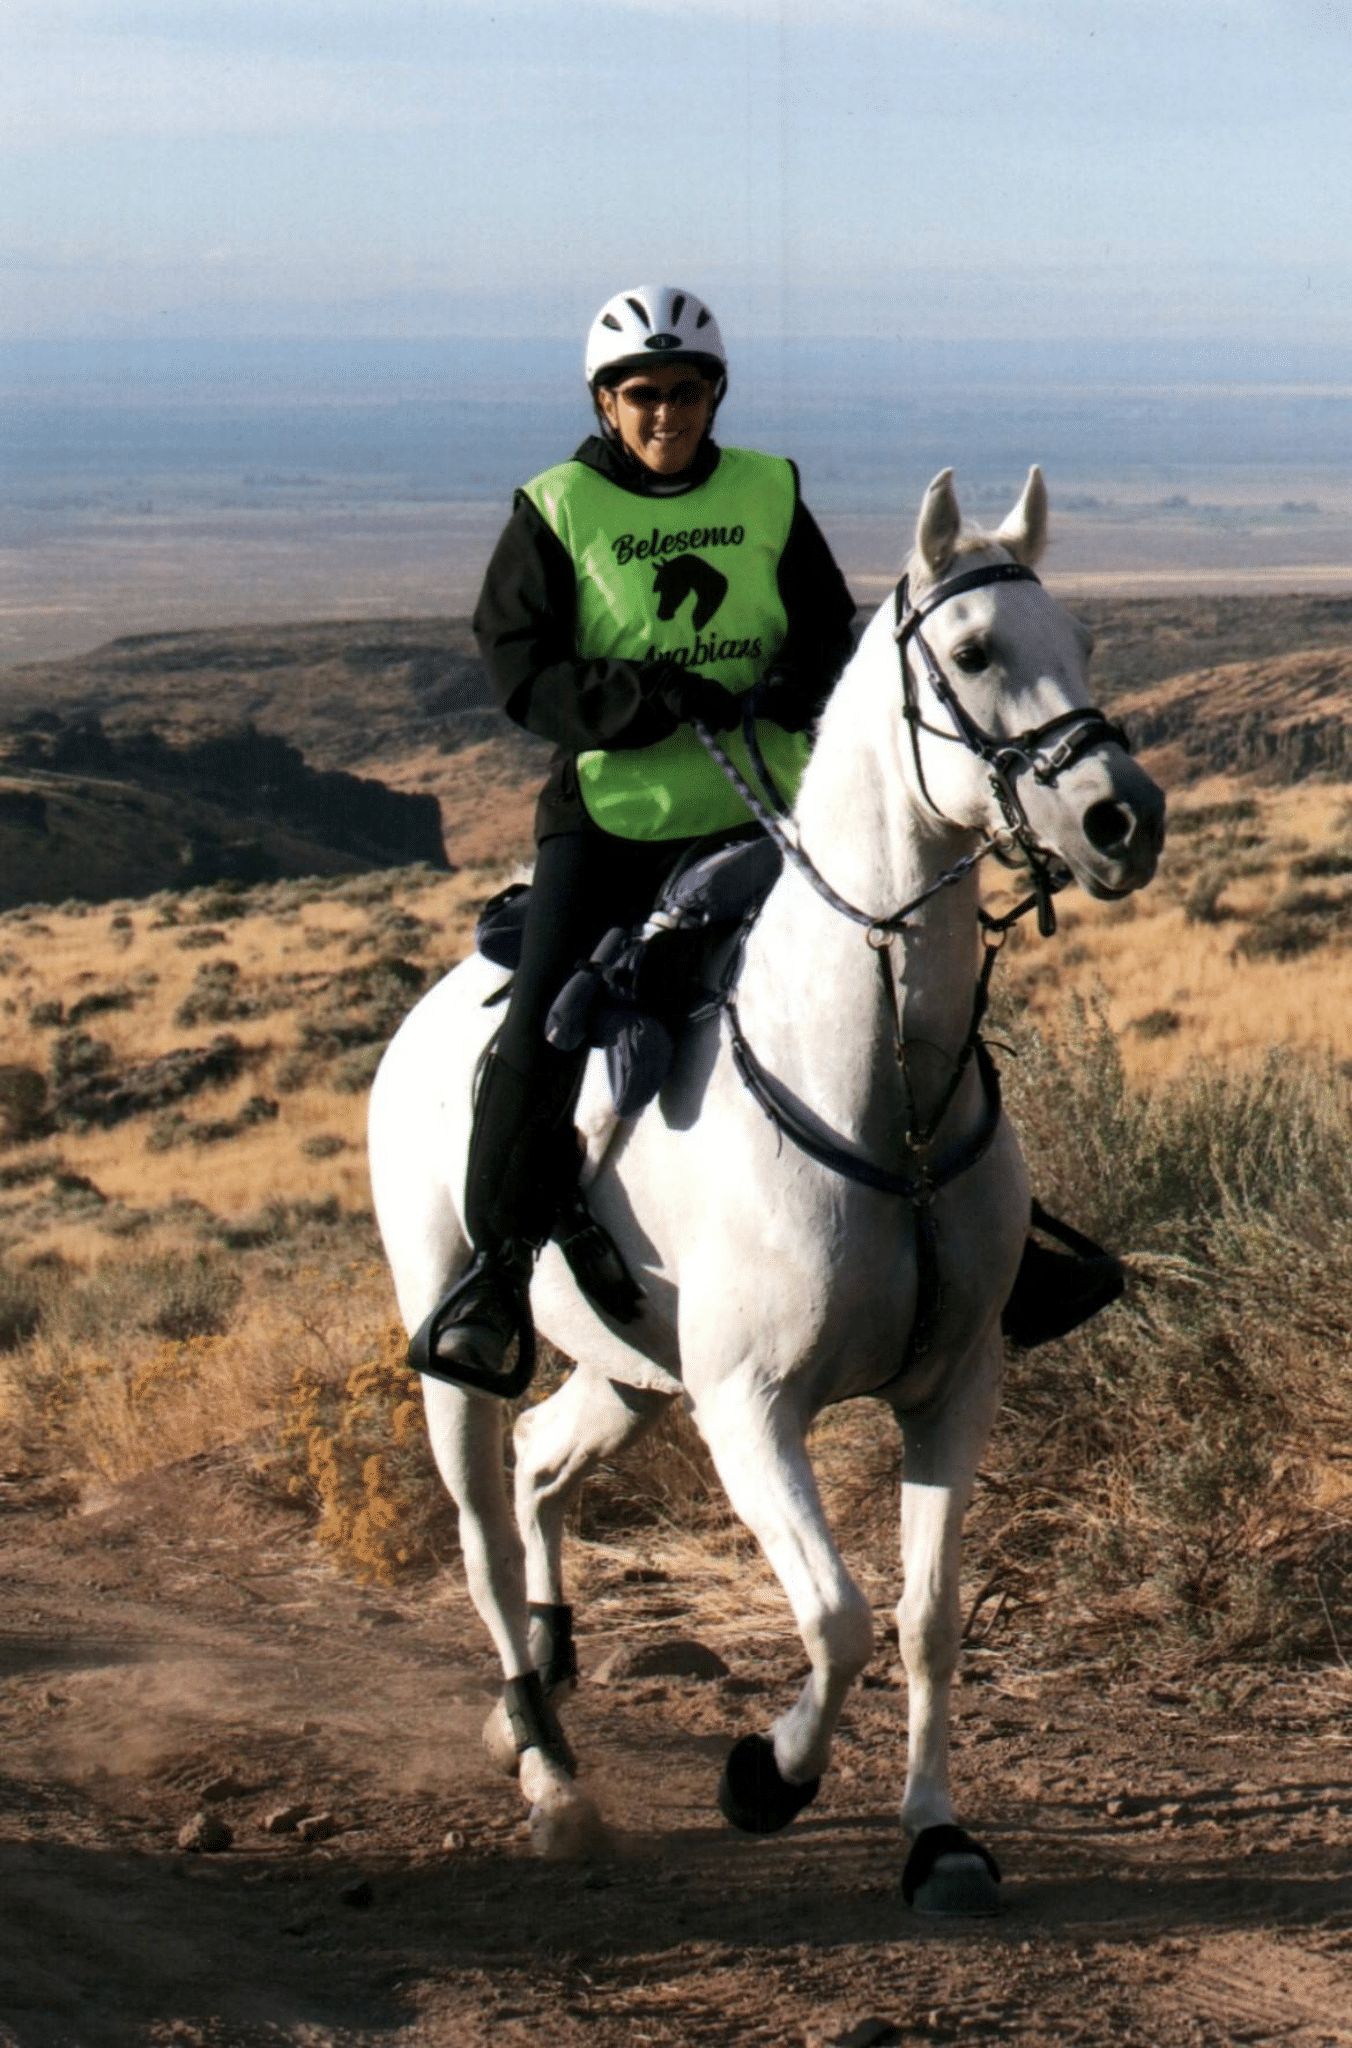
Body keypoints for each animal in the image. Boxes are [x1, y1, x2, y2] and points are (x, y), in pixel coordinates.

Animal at [366, 471, 1163, 1908]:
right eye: (973, 653)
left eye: (1080, 640)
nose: (1124, 819)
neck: (876, 1084)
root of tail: (431, 1008)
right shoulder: (750, 1406)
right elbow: (837, 1618)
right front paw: (765, 1776)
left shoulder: (953, 1389)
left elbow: (926, 1621)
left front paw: (937, 1835)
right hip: (456, 1353)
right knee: (483, 1537)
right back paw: (548, 1772)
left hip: (630, 1370)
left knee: (541, 1463)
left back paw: (545, 1684)